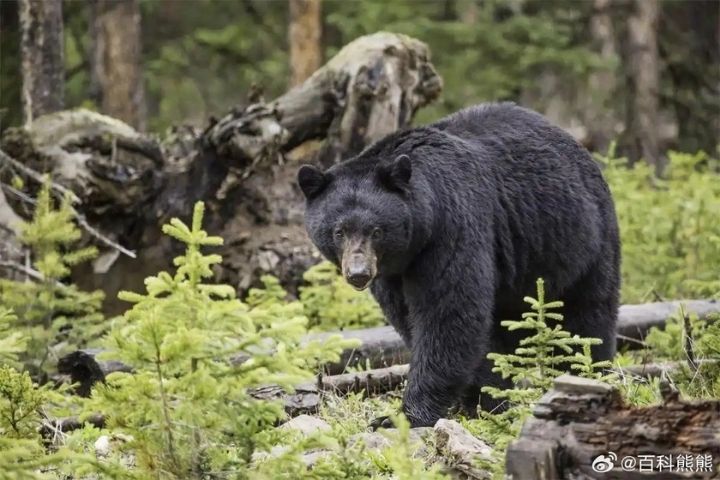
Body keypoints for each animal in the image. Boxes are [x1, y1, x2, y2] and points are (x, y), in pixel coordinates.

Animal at [297, 102, 620, 428]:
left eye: (376, 230)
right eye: (339, 231)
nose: (359, 274)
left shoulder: (452, 227)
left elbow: (448, 314)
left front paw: (404, 415)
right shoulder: (392, 273)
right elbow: (411, 317)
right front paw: (484, 399)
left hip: (581, 239)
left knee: (586, 316)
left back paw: (586, 373)